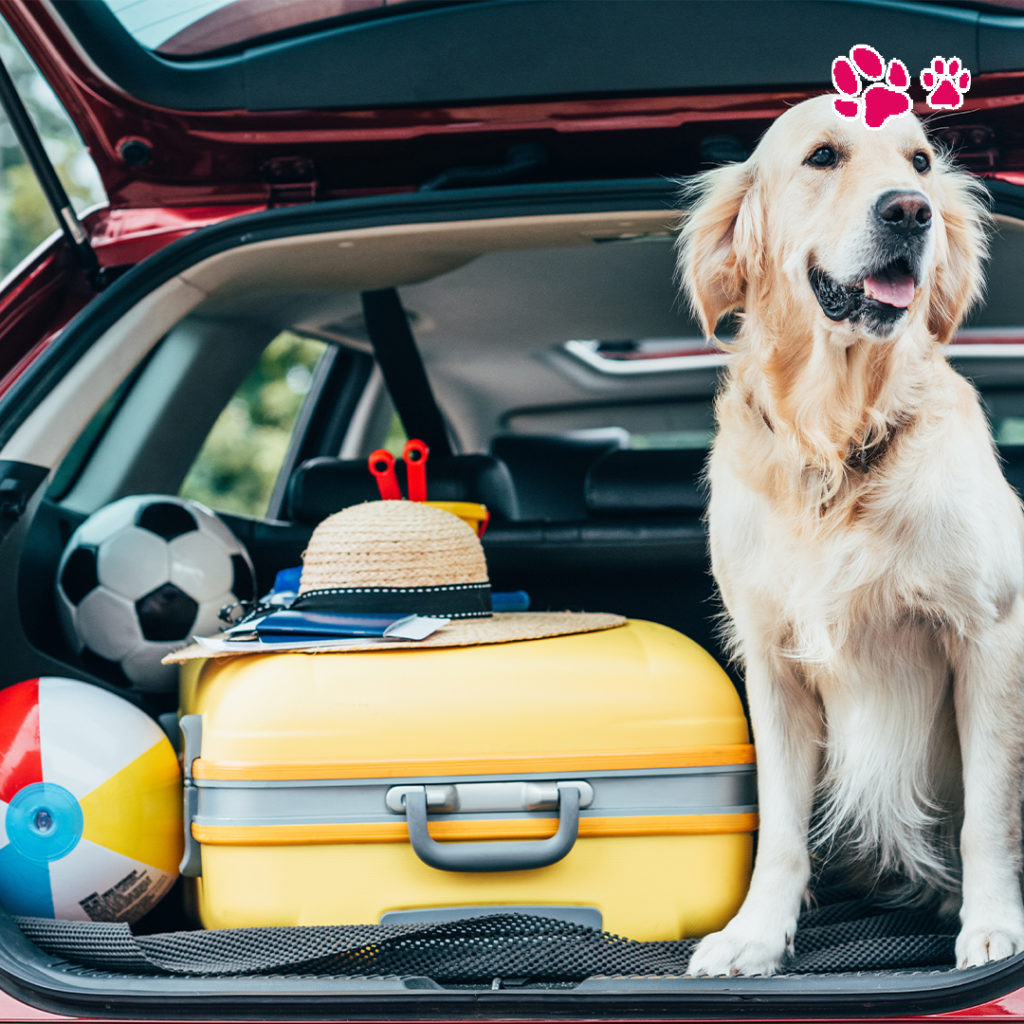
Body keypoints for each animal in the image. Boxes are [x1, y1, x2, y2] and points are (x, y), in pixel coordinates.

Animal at [671, 94, 1024, 974]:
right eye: (823, 156)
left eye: (920, 162)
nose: (911, 211)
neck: (836, 442)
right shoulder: (772, 658)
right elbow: (781, 827)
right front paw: (756, 933)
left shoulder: (990, 634)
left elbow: (988, 814)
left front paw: (992, 925)